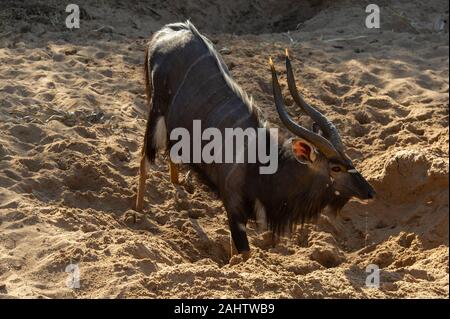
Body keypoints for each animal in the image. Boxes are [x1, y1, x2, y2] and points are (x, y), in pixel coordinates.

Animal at [135, 20, 374, 260]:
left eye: (348, 160)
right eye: (336, 168)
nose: (370, 192)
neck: (262, 166)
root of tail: (173, 28)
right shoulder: (234, 210)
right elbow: (245, 254)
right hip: (155, 112)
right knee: (144, 159)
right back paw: (137, 213)